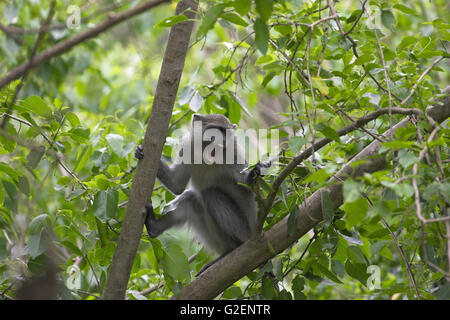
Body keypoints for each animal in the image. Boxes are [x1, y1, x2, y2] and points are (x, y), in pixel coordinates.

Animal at [134, 114, 268, 274]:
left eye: (226, 132)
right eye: (217, 130)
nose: (223, 140)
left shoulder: (232, 153)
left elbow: (246, 184)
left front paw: (254, 173)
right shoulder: (188, 148)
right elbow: (176, 185)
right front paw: (139, 151)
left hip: (243, 230)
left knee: (210, 194)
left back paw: (234, 248)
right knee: (190, 199)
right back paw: (154, 227)